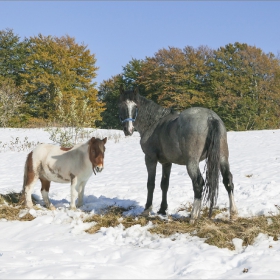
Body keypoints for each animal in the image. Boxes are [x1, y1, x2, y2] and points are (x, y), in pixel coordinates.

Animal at [118, 87, 238, 223]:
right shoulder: (166, 162)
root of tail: (210, 118)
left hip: (191, 162)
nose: (128, 130)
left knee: (198, 182)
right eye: (121, 106)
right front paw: (162, 209)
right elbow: (164, 184)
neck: (154, 123)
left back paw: (194, 216)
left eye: (135, 106)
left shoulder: (150, 158)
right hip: (223, 158)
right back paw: (233, 214)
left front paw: (147, 210)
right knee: (228, 180)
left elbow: (151, 184)